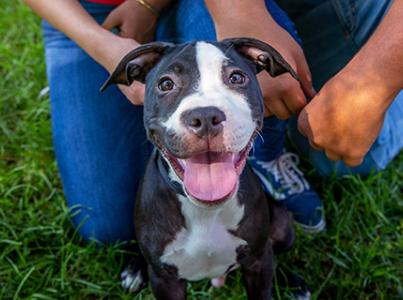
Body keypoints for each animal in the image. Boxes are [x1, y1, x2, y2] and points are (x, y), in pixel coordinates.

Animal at [101, 38, 304, 300]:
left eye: (236, 78)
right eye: (166, 84)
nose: (206, 116)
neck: (205, 213)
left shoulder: (258, 261)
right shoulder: (165, 281)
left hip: (282, 226)